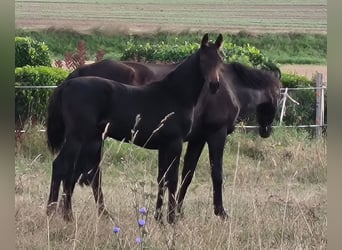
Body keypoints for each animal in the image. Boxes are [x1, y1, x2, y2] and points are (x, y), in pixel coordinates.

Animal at [46, 33, 224, 223]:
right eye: (203, 59)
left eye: (220, 59)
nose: (214, 85)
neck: (175, 94)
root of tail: (65, 85)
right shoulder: (175, 143)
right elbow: (172, 180)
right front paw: (171, 220)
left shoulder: (164, 146)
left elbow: (162, 179)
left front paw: (159, 218)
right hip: (78, 137)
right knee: (61, 167)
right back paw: (54, 213)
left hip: (87, 138)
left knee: (74, 172)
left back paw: (68, 215)